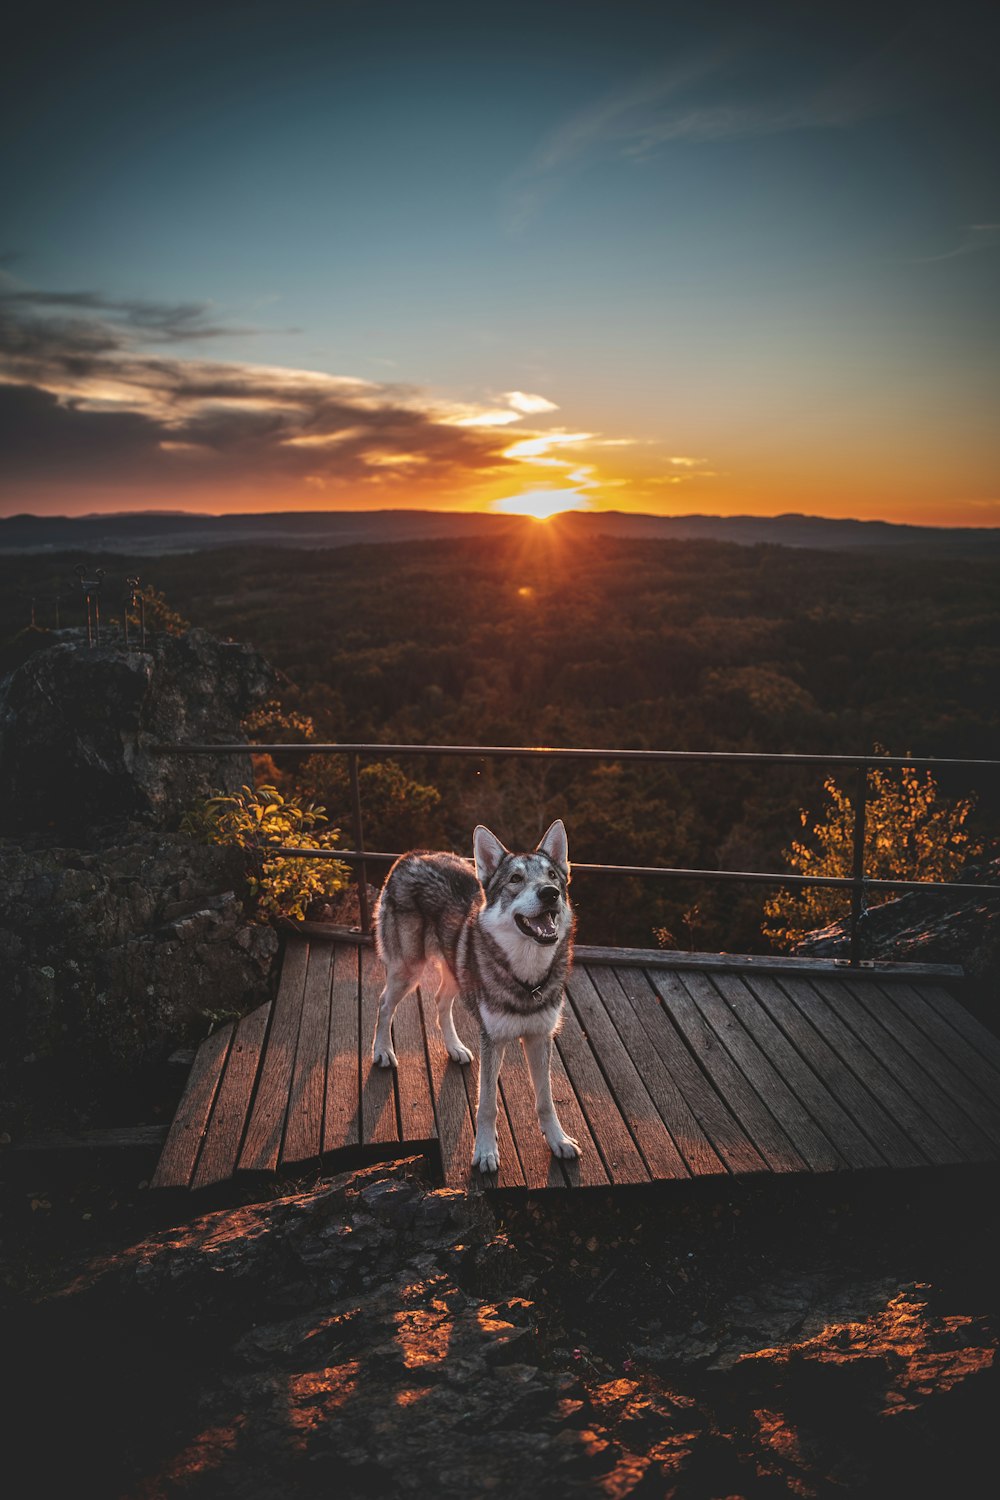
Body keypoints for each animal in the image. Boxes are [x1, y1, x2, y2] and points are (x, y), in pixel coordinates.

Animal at [373, 822, 578, 1170]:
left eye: (552, 876)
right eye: (515, 879)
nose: (549, 893)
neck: (527, 979)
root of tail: (412, 854)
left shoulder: (540, 1037)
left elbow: (546, 1101)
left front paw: (558, 1140)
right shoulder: (493, 1041)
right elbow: (487, 1105)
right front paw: (484, 1151)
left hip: (455, 974)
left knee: (440, 1002)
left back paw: (455, 1048)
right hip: (408, 971)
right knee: (384, 1003)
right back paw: (383, 1052)